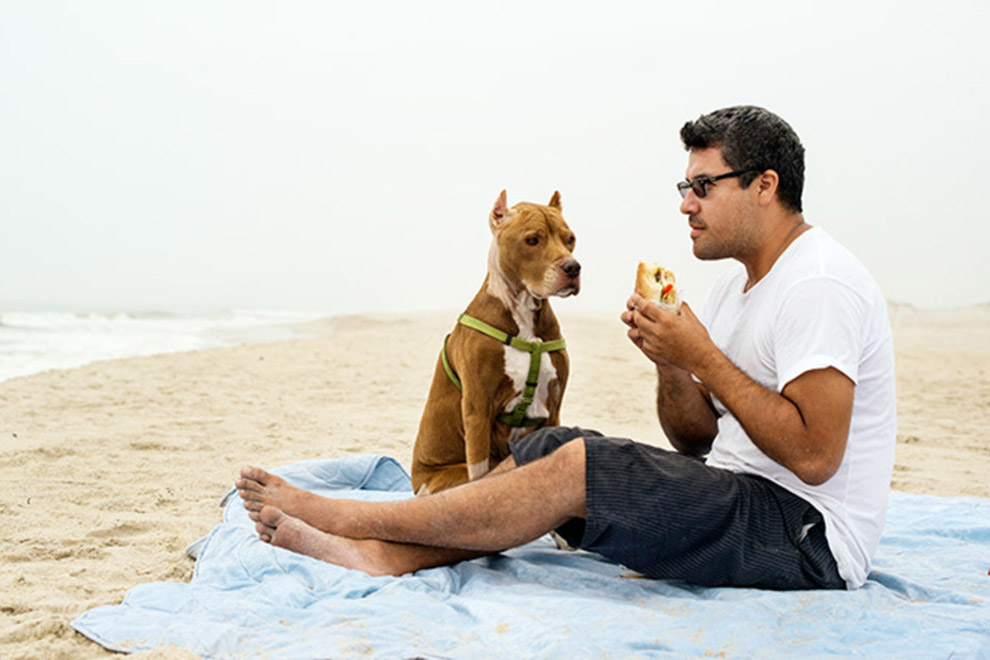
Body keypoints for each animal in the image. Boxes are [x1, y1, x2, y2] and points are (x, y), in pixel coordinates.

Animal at [410, 188, 580, 492]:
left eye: (570, 238)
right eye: (532, 240)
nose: (573, 267)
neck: (523, 317)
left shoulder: (553, 409)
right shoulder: (477, 409)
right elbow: (478, 472)